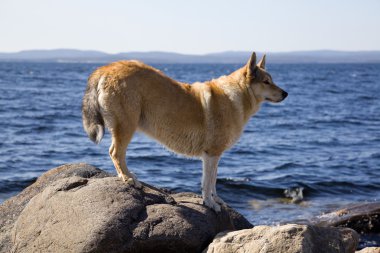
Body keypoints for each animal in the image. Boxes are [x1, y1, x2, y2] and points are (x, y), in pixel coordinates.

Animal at [81, 52, 286, 211]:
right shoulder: (211, 154)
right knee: (115, 152)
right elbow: (207, 183)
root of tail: (106, 67)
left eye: (272, 80)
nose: (286, 94)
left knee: (117, 154)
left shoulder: (215, 155)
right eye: (266, 82)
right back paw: (127, 179)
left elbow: (213, 181)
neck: (237, 96)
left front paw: (216, 200)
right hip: (126, 126)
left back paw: (130, 176)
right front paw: (210, 204)